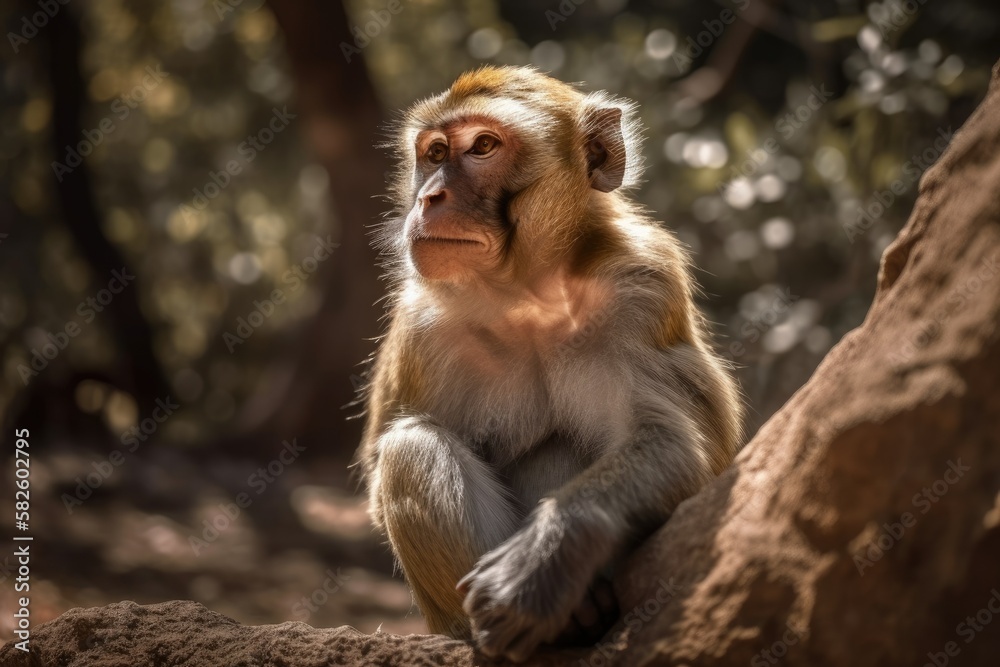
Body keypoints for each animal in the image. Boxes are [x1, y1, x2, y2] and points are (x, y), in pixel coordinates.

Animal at [356, 66, 743, 662]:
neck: (527, 296)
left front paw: (544, 559)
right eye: (435, 152)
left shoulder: (642, 288)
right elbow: (385, 460)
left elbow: (673, 441)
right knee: (411, 446)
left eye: (483, 146)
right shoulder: (422, 323)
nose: (430, 196)